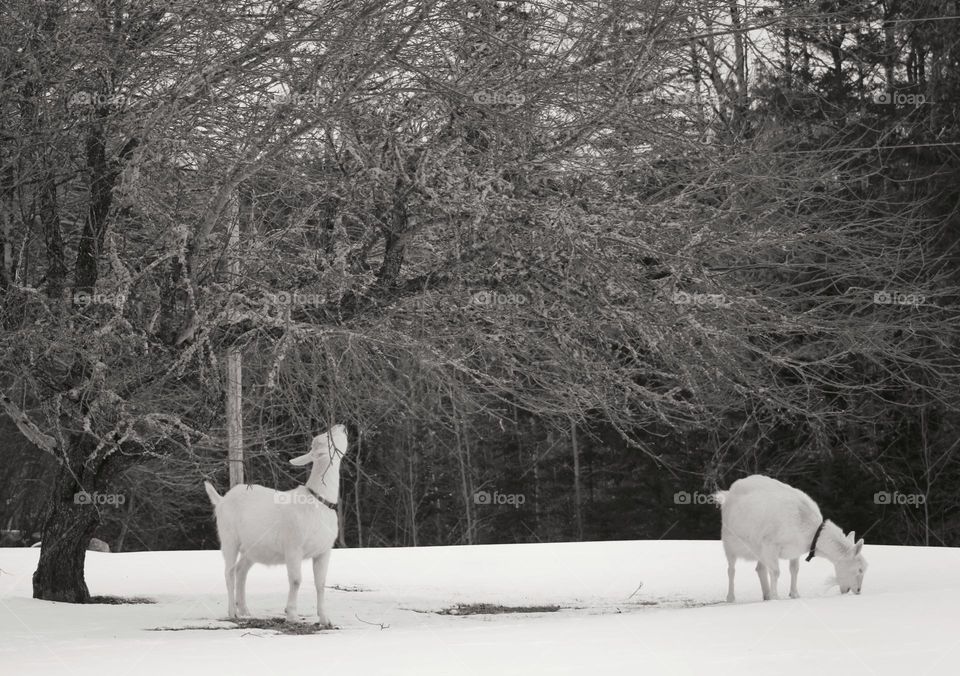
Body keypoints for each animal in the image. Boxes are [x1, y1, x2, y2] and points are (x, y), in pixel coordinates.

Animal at [203, 422, 348, 624]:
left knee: (241, 570)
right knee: (229, 572)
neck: (318, 501)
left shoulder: (323, 550)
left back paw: (245, 610)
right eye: (326, 437)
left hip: (252, 547)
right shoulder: (293, 546)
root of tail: (222, 500)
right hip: (229, 538)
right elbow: (296, 580)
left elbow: (321, 583)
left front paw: (325, 619)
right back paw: (233, 612)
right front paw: (292, 615)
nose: (341, 426)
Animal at [716, 476, 868, 604]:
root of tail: (729, 492)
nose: (858, 591)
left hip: (758, 549)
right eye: (859, 569)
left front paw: (794, 594)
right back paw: (731, 597)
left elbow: (794, 569)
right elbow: (775, 571)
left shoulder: (795, 550)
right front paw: (776, 597)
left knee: (760, 568)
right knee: (731, 570)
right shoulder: (770, 545)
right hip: (729, 542)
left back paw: (766, 595)